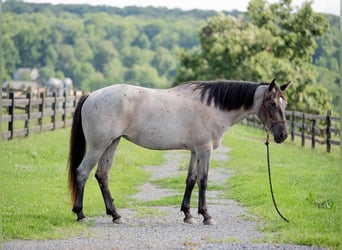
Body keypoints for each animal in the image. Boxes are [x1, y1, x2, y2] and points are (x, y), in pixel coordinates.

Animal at [68, 78, 290, 225]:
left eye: (284, 103)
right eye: (272, 103)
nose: (283, 135)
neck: (212, 107)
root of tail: (91, 96)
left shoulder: (195, 151)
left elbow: (191, 180)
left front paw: (188, 214)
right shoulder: (204, 150)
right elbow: (203, 181)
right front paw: (206, 216)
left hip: (111, 144)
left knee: (102, 176)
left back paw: (115, 215)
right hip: (98, 146)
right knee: (82, 172)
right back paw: (80, 214)